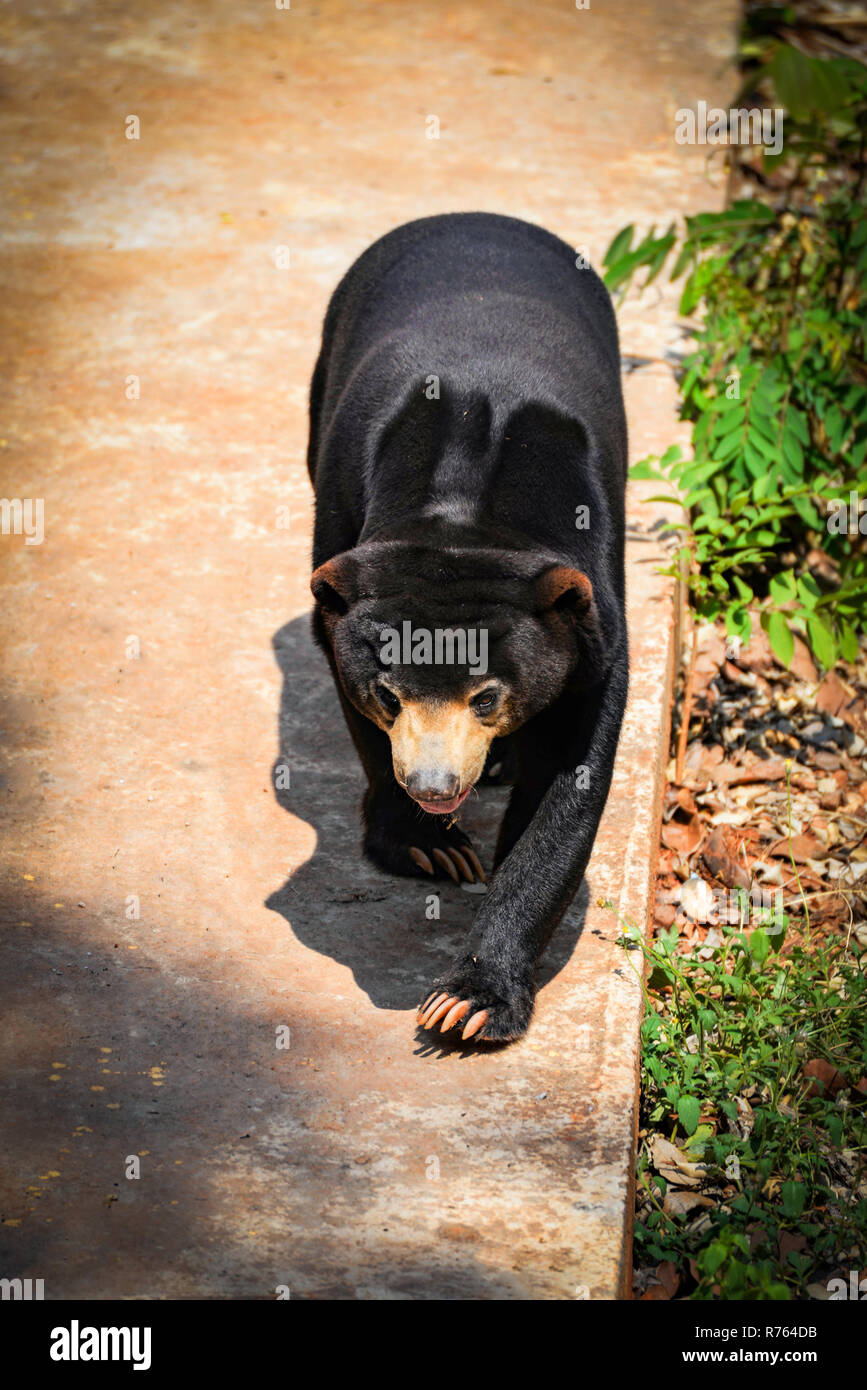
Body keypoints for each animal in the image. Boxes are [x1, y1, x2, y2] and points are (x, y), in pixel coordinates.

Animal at [307, 212, 629, 1043]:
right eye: (390, 696)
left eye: (486, 697)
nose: (435, 787)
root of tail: (475, 217)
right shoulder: (341, 551)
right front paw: (431, 850)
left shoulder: (593, 625)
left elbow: (568, 783)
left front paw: (469, 1002)